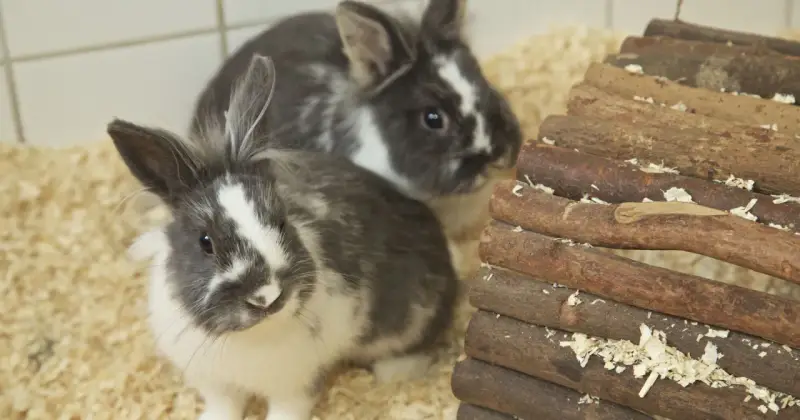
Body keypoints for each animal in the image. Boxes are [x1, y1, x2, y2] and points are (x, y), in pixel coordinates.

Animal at [113, 55, 459, 420]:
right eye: (205, 241)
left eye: (281, 221)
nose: (266, 296)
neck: (250, 337)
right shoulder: (215, 382)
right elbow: (223, 406)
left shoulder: (296, 384)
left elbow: (286, 410)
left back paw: (394, 374)